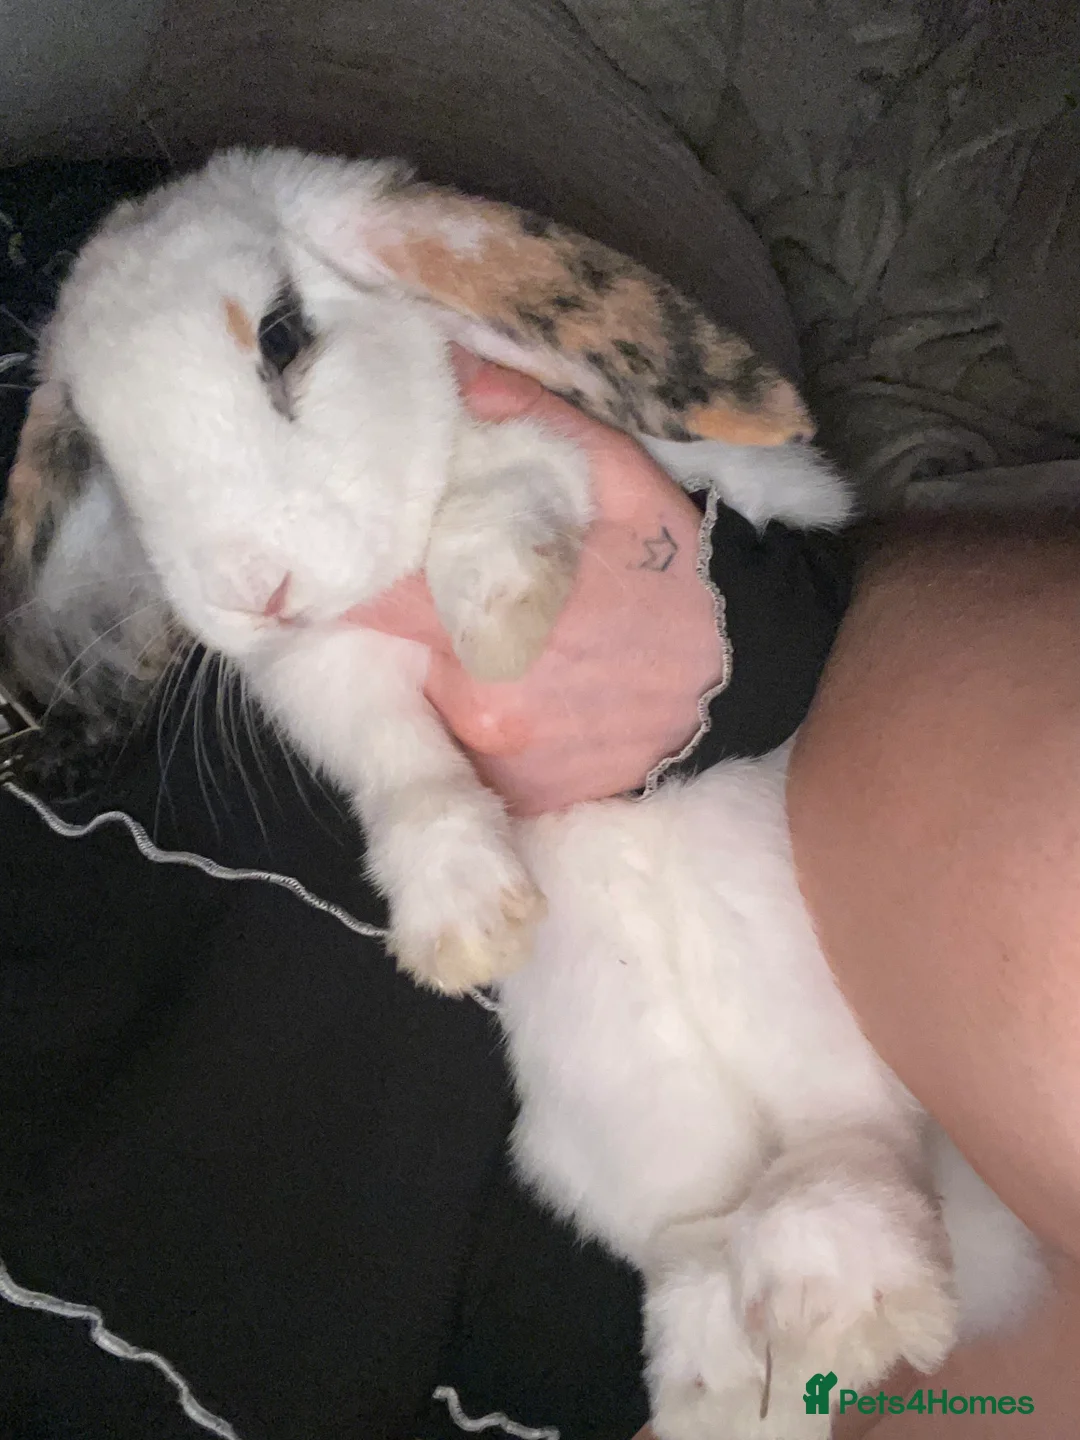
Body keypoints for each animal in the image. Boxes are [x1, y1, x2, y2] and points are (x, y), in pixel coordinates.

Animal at [0, 149, 1045, 1438]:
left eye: (284, 337)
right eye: (101, 440)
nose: (254, 589)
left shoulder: (626, 466)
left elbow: (507, 479)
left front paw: (501, 622)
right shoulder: (335, 679)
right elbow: (406, 774)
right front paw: (463, 928)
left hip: (830, 1056)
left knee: (851, 1153)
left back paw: (851, 1299)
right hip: (619, 1139)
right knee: (699, 1244)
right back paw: (725, 1377)